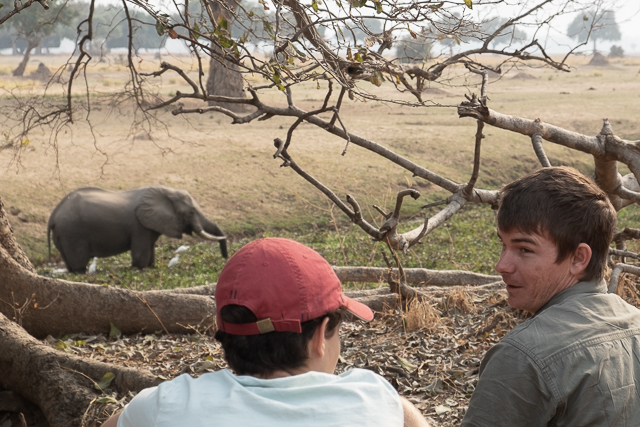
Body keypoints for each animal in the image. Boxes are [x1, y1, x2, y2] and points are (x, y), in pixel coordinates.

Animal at [48, 187, 228, 274]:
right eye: (191, 212)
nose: (225, 259)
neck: (166, 192)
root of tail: (53, 215)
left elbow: (150, 251)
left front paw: (151, 268)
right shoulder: (139, 226)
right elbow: (141, 255)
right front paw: (139, 269)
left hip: (63, 235)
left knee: (70, 265)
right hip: (72, 233)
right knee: (79, 265)